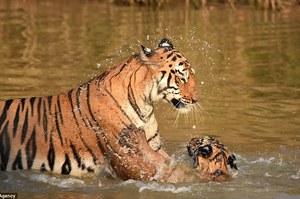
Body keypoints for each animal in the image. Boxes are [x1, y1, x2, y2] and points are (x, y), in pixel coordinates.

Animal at [0, 38, 199, 182]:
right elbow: (159, 172)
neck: (145, 103)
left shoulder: (154, 146)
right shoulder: (121, 156)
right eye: (182, 77)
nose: (196, 99)